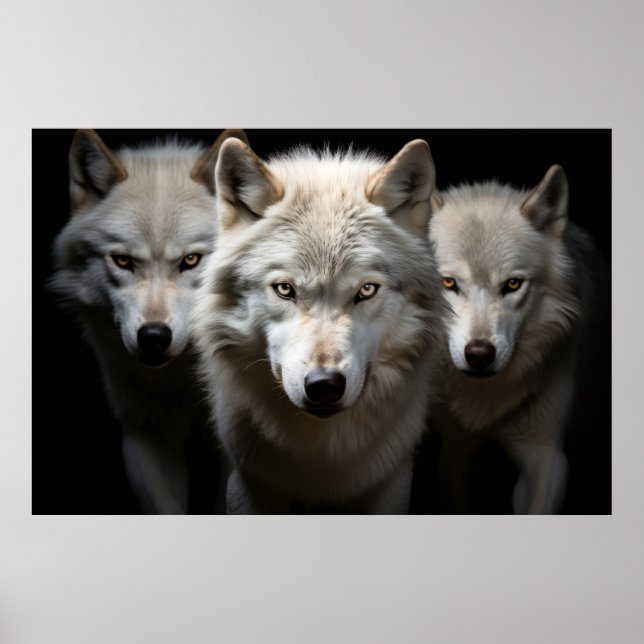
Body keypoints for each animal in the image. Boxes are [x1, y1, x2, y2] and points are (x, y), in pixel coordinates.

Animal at [192, 137, 447, 514]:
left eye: (366, 290)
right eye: (285, 289)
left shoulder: (391, 482)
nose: (324, 385)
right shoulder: (250, 482)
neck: (322, 456)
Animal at [428, 165, 603, 513]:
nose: (479, 354)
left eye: (512, 284)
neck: (488, 399)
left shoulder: (546, 454)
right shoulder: (456, 447)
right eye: (448, 282)